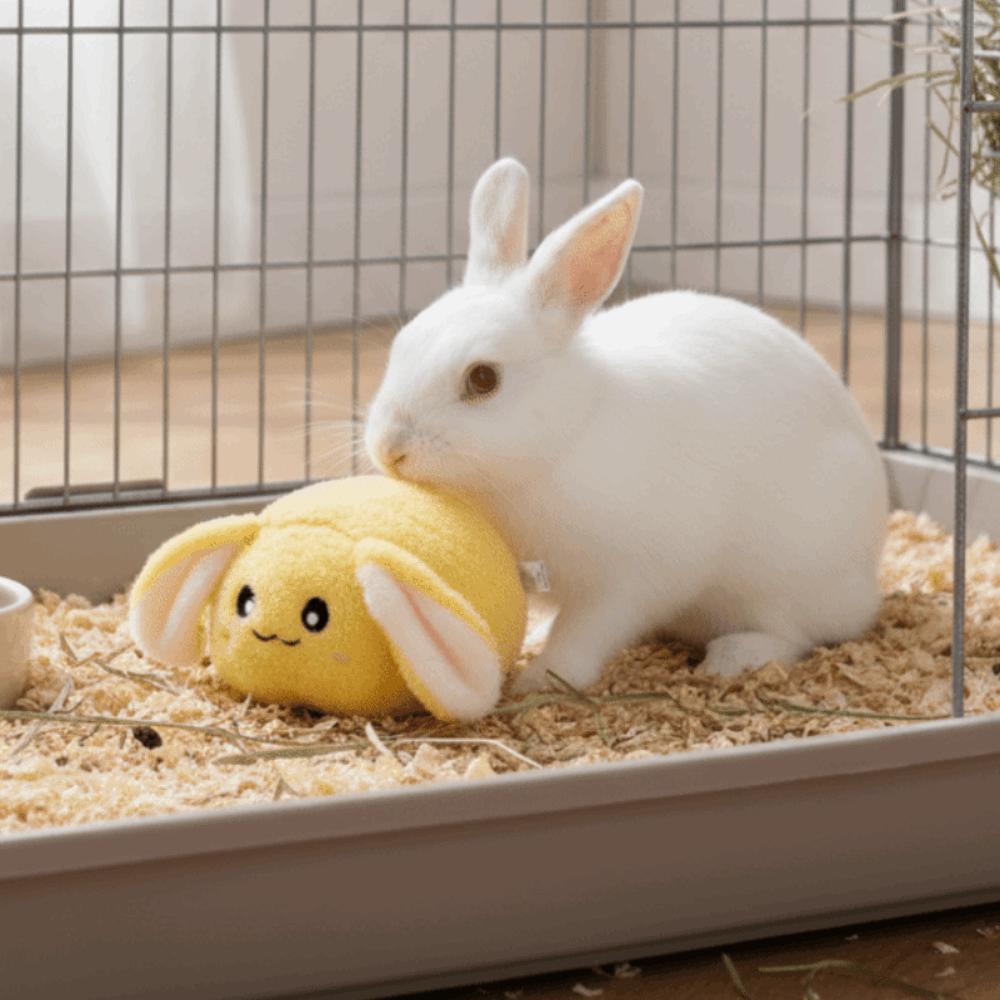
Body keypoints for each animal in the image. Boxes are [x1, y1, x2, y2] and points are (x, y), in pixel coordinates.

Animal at [365, 157, 888, 692]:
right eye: (401, 345)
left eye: (483, 378)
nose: (389, 448)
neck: (559, 444)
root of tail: (868, 578)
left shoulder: (627, 583)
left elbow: (584, 633)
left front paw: (540, 679)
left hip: (787, 575)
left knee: (799, 632)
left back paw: (734, 656)